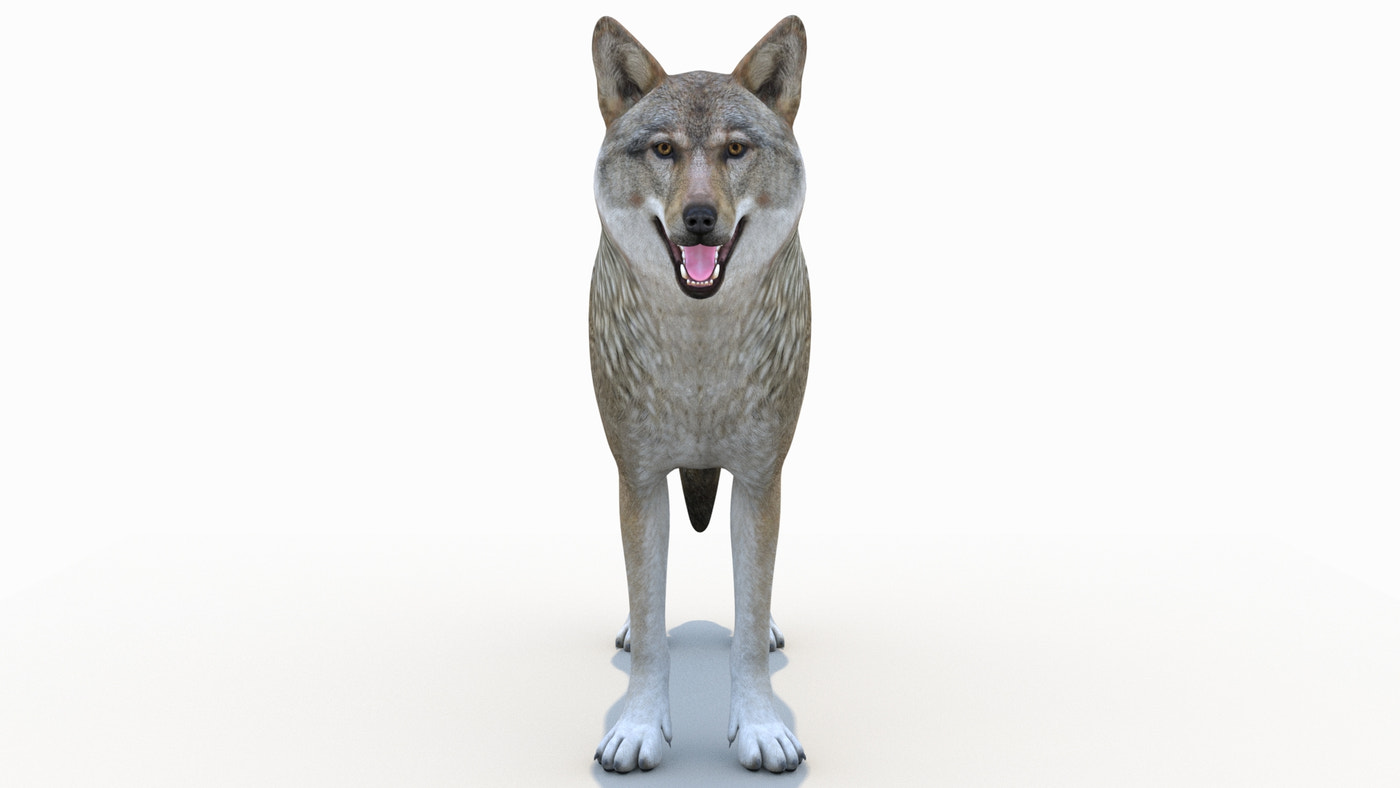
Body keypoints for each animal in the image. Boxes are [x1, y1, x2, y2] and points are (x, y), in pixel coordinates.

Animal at [588, 15, 811, 774]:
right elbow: (652, 614)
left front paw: (762, 728)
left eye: (735, 149)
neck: (699, 358)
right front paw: (638, 728)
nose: (700, 217)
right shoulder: (637, 478)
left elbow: (748, 610)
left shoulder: (762, 478)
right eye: (664, 150)